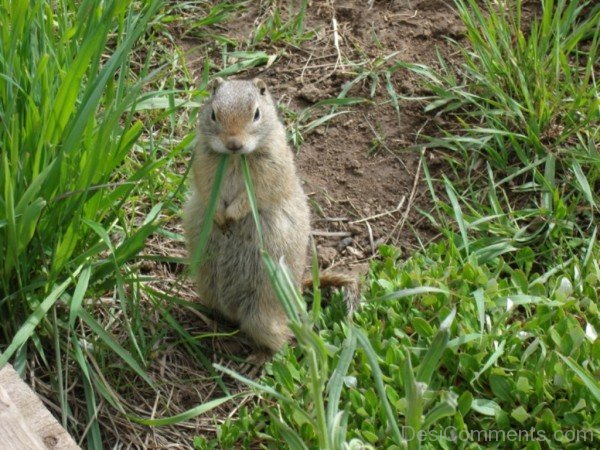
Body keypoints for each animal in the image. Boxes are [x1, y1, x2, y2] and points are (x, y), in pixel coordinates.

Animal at [185, 76, 358, 358]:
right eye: (213, 114)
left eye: (256, 114)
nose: (234, 143)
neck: (235, 158)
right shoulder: (202, 160)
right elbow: (208, 188)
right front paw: (220, 217)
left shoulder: (270, 166)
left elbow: (255, 194)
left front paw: (231, 215)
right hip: (208, 288)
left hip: (262, 315)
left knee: (284, 343)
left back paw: (257, 358)